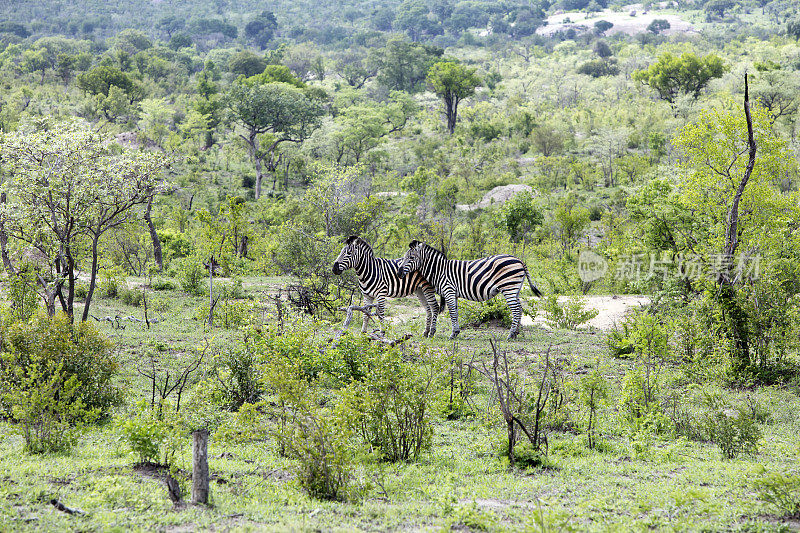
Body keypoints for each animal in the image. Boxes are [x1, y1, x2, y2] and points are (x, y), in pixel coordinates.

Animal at [400, 239, 544, 338]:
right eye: (404, 257)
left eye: (411, 258)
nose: (399, 273)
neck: (440, 270)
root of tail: (519, 260)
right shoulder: (453, 294)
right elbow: (455, 312)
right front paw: (456, 332)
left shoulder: (449, 290)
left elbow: (452, 313)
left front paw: (453, 334)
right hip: (515, 289)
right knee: (520, 308)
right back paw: (516, 333)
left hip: (509, 288)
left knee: (516, 310)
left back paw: (511, 334)